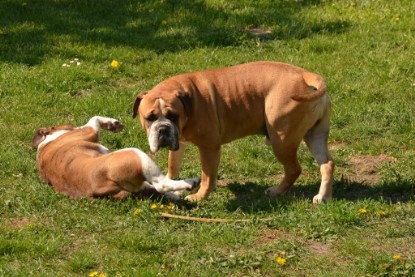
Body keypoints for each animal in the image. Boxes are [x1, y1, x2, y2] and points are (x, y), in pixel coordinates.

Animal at [32, 115, 198, 198]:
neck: (46, 142)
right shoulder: (88, 130)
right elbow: (94, 119)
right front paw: (111, 123)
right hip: (134, 153)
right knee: (161, 184)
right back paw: (190, 182)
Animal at [133, 61, 334, 203]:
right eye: (149, 118)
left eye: (173, 116)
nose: (163, 129)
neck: (187, 99)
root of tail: (304, 75)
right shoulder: (179, 142)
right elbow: (173, 166)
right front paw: (175, 186)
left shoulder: (209, 147)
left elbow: (207, 176)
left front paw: (200, 196)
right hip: (315, 135)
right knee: (327, 163)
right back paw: (323, 196)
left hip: (282, 140)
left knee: (294, 169)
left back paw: (276, 191)